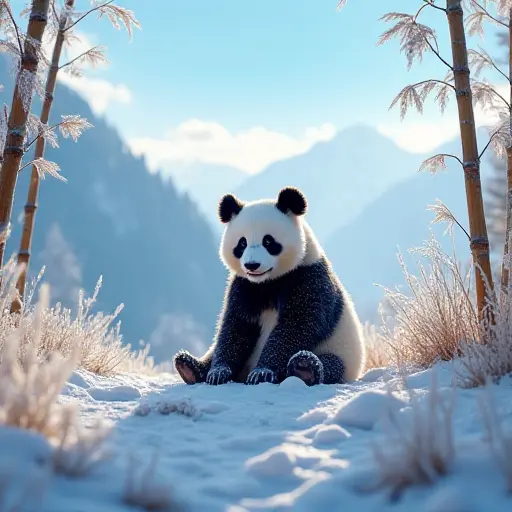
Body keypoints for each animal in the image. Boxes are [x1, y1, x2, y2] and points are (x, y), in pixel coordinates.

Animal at [174, 186, 366, 386]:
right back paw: (189, 366)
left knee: (331, 364)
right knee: (212, 350)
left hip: (342, 353)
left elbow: (295, 326)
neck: (267, 281)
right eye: (242, 243)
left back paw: (305, 368)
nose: (252, 265)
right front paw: (218, 372)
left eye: (268, 241)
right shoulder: (243, 285)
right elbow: (236, 326)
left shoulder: (308, 277)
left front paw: (262, 373)